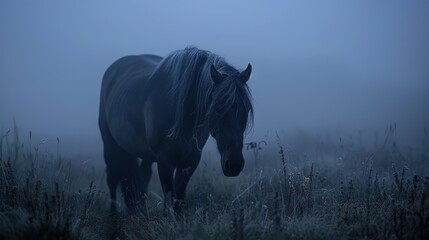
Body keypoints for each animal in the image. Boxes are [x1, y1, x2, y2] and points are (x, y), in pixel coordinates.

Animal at [98, 47, 252, 216]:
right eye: (217, 108)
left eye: (246, 110)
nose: (234, 164)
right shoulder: (165, 161)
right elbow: (168, 201)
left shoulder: (190, 161)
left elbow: (179, 200)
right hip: (110, 144)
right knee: (112, 179)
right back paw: (113, 217)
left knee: (141, 179)